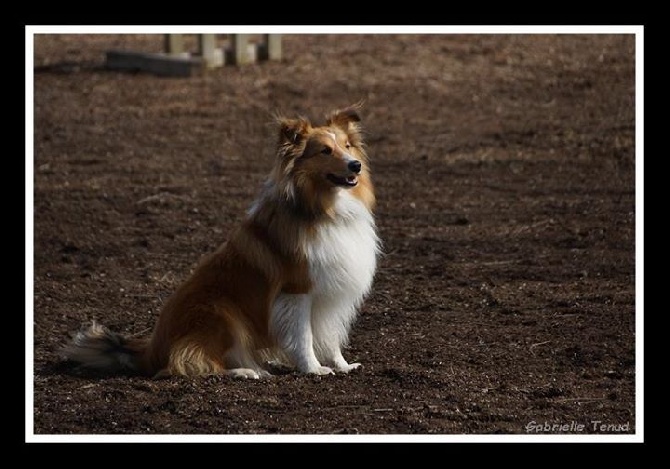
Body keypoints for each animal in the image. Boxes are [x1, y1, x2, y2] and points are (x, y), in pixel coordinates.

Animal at [60, 104, 380, 378]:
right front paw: (314, 369)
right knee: (189, 362)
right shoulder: (296, 291)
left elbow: (330, 337)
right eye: (325, 151)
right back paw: (245, 371)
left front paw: (342, 365)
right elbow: (303, 336)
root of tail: (150, 351)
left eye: (347, 146)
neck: (325, 209)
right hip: (222, 312)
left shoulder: (331, 292)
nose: (355, 166)